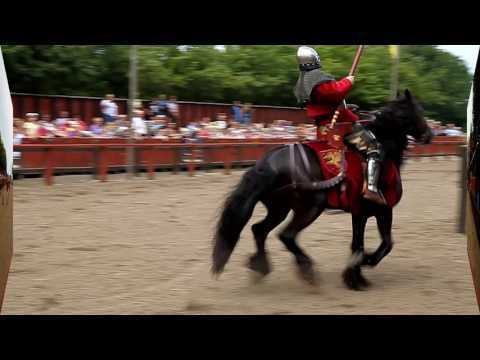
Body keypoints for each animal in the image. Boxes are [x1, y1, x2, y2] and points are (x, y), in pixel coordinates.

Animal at [212, 90, 434, 290]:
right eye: (419, 110)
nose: (429, 135)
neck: (385, 154)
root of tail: (267, 163)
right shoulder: (381, 210)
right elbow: (383, 245)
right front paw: (363, 264)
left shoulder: (361, 213)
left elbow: (360, 244)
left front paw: (355, 276)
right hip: (310, 208)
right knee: (286, 235)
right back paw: (307, 270)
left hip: (279, 209)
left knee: (259, 230)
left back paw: (261, 266)